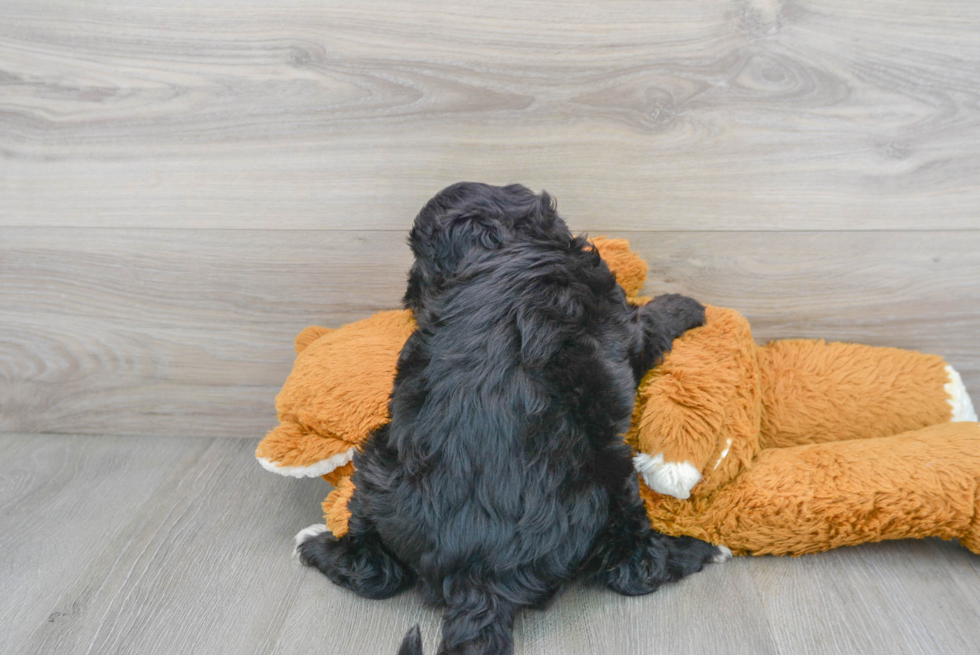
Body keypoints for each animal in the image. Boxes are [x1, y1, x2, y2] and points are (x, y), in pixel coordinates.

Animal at [294, 183, 724, 655]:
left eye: (419, 263)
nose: (407, 294)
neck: (500, 248)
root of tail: (478, 577)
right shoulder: (620, 320)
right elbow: (650, 320)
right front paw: (686, 305)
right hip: (612, 479)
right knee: (635, 567)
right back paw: (701, 550)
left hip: (377, 469)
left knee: (375, 573)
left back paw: (316, 545)